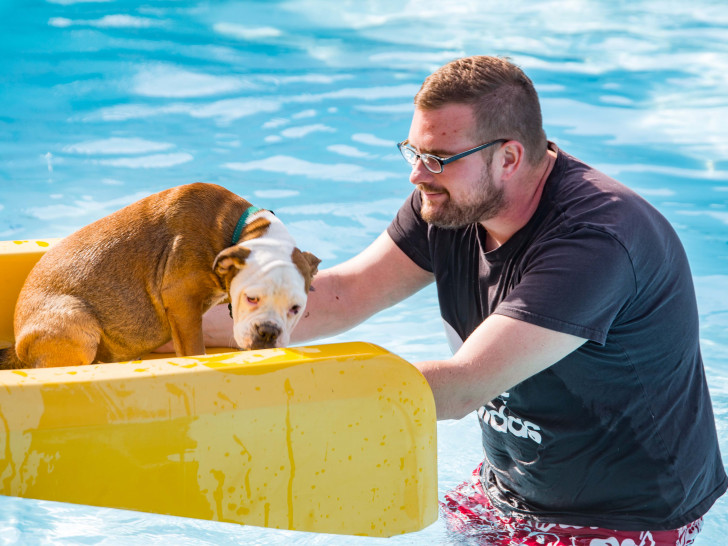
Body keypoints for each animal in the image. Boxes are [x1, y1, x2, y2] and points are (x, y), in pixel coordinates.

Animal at [0, 181, 318, 368]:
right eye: (251, 299)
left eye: (296, 309)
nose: (268, 332)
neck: (240, 229)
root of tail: (18, 345)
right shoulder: (182, 300)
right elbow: (194, 350)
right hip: (76, 322)